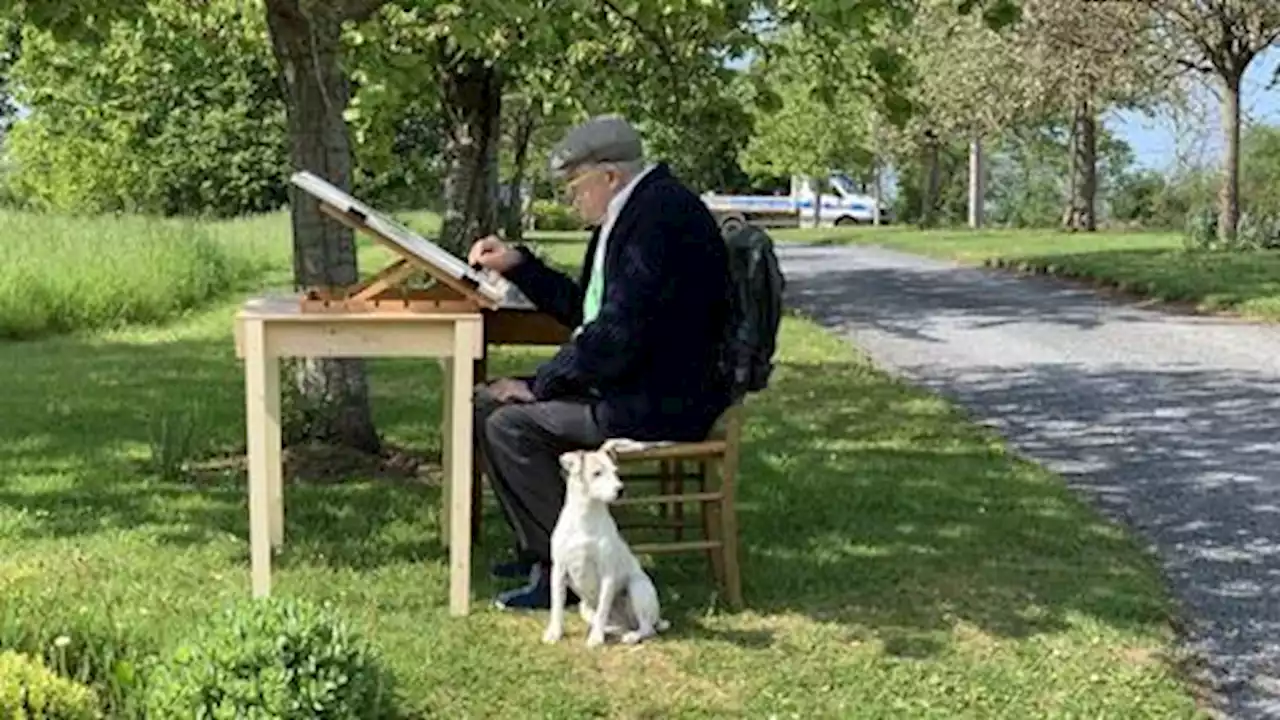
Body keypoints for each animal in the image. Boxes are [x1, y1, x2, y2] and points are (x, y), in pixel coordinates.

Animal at [540, 438, 670, 645]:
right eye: (597, 473)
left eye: (615, 471)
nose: (620, 489)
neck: (585, 517)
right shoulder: (559, 570)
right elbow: (557, 607)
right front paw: (554, 633)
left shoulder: (607, 574)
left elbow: (602, 609)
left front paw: (595, 639)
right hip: (585, 608)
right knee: (612, 624)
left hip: (637, 587)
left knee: (647, 628)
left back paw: (631, 636)